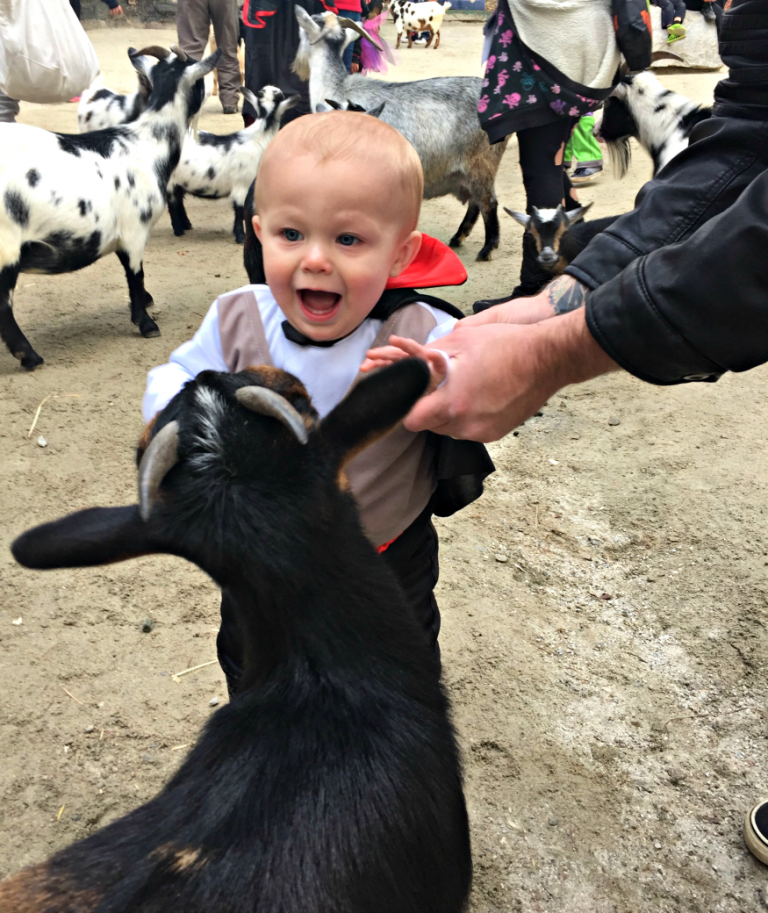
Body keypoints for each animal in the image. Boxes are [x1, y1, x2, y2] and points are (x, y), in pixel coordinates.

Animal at [0, 44, 222, 368]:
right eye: (201, 83)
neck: (147, 144)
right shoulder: (135, 230)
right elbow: (134, 274)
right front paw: (146, 323)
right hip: (7, 245)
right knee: (3, 304)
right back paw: (29, 355)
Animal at [168, 84, 300, 242]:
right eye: (280, 96)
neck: (258, 138)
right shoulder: (241, 185)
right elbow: (239, 210)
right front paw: (241, 237)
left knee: (178, 200)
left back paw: (186, 225)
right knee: (172, 203)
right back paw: (178, 230)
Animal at [294, 8, 510, 260]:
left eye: (307, 28)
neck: (338, 88)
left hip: (481, 162)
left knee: (488, 202)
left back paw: (487, 248)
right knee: (476, 202)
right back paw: (458, 238)